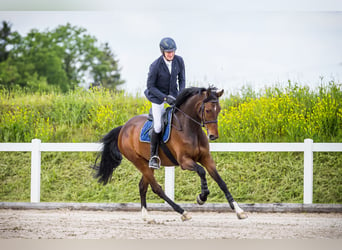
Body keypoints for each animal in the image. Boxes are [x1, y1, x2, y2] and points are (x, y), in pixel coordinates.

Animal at [93, 86, 247, 221]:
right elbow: (201, 171)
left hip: (147, 164)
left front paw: (239, 211)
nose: (213, 136)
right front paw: (202, 197)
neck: (191, 129)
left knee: (143, 186)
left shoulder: (206, 158)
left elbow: (221, 182)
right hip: (139, 162)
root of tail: (123, 128)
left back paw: (147, 217)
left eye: (219, 110)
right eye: (208, 110)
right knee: (157, 189)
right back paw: (183, 213)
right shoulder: (185, 161)